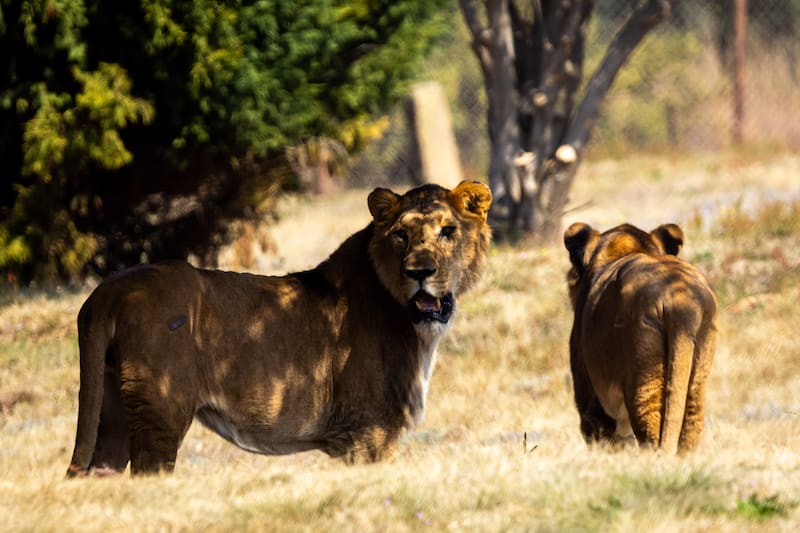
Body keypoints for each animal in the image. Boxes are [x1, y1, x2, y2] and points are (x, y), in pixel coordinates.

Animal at [66, 181, 492, 476]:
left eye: (447, 231)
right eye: (401, 235)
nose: (420, 272)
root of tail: (111, 288)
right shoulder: (368, 430)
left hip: (113, 414)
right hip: (160, 412)